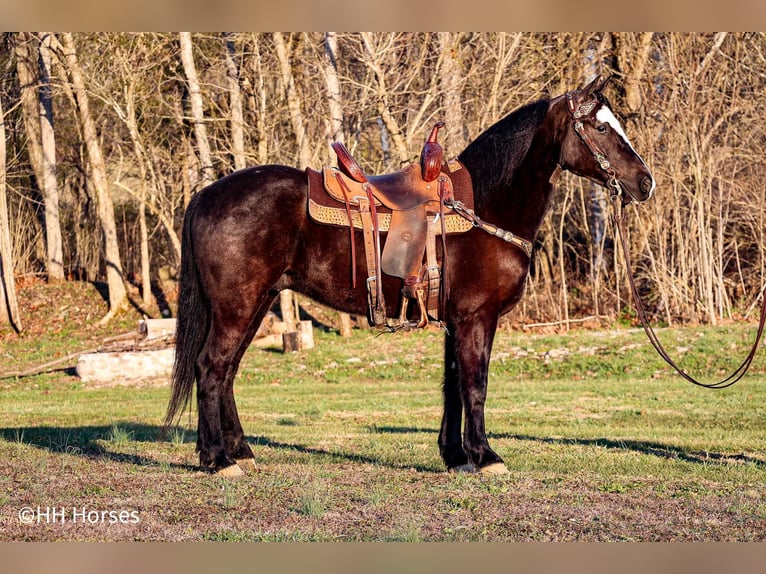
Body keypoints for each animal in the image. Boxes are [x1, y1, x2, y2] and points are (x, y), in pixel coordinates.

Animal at [163, 75, 655, 477]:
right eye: (600, 127)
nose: (645, 182)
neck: (484, 205)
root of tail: (205, 195)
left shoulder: (456, 322)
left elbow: (453, 385)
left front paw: (457, 456)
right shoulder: (477, 318)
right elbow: (475, 385)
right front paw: (486, 456)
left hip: (257, 302)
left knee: (226, 372)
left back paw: (239, 452)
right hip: (237, 306)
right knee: (211, 367)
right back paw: (218, 460)